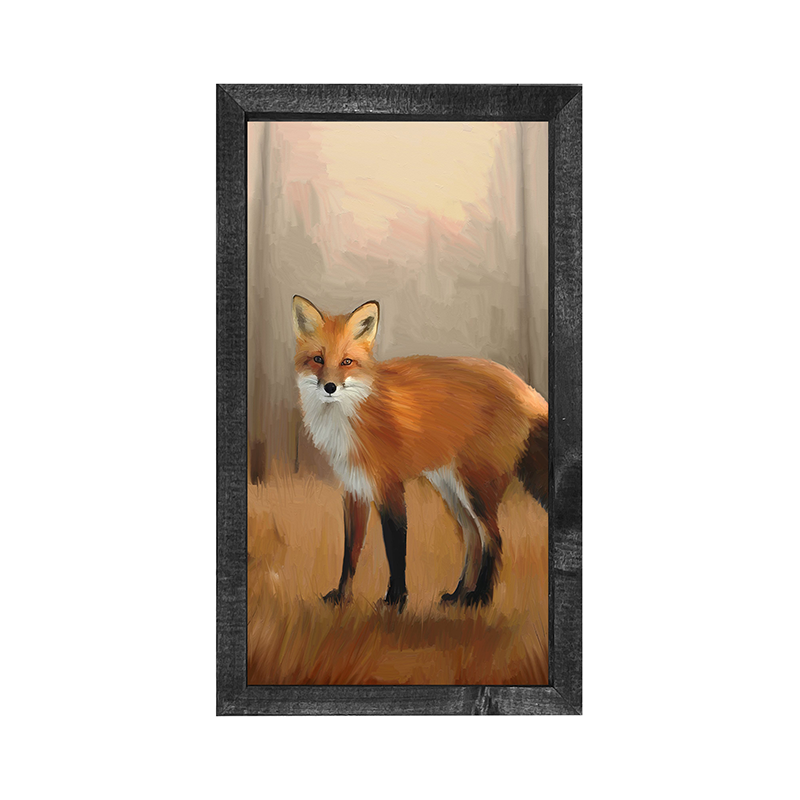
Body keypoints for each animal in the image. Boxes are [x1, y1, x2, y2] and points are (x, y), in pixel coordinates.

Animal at [292, 295, 549, 611]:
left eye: (346, 362)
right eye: (318, 359)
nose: (329, 387)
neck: (352, 415)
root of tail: (526, 388)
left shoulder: (389, 487)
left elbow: (395, 549)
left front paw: (395, 601)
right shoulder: (355, 489)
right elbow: (350, 552)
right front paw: (342, 597)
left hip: (476, 488)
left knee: (494, 539)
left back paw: (480, 598)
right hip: (452, 489)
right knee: (473, 538)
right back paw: (458, 595)